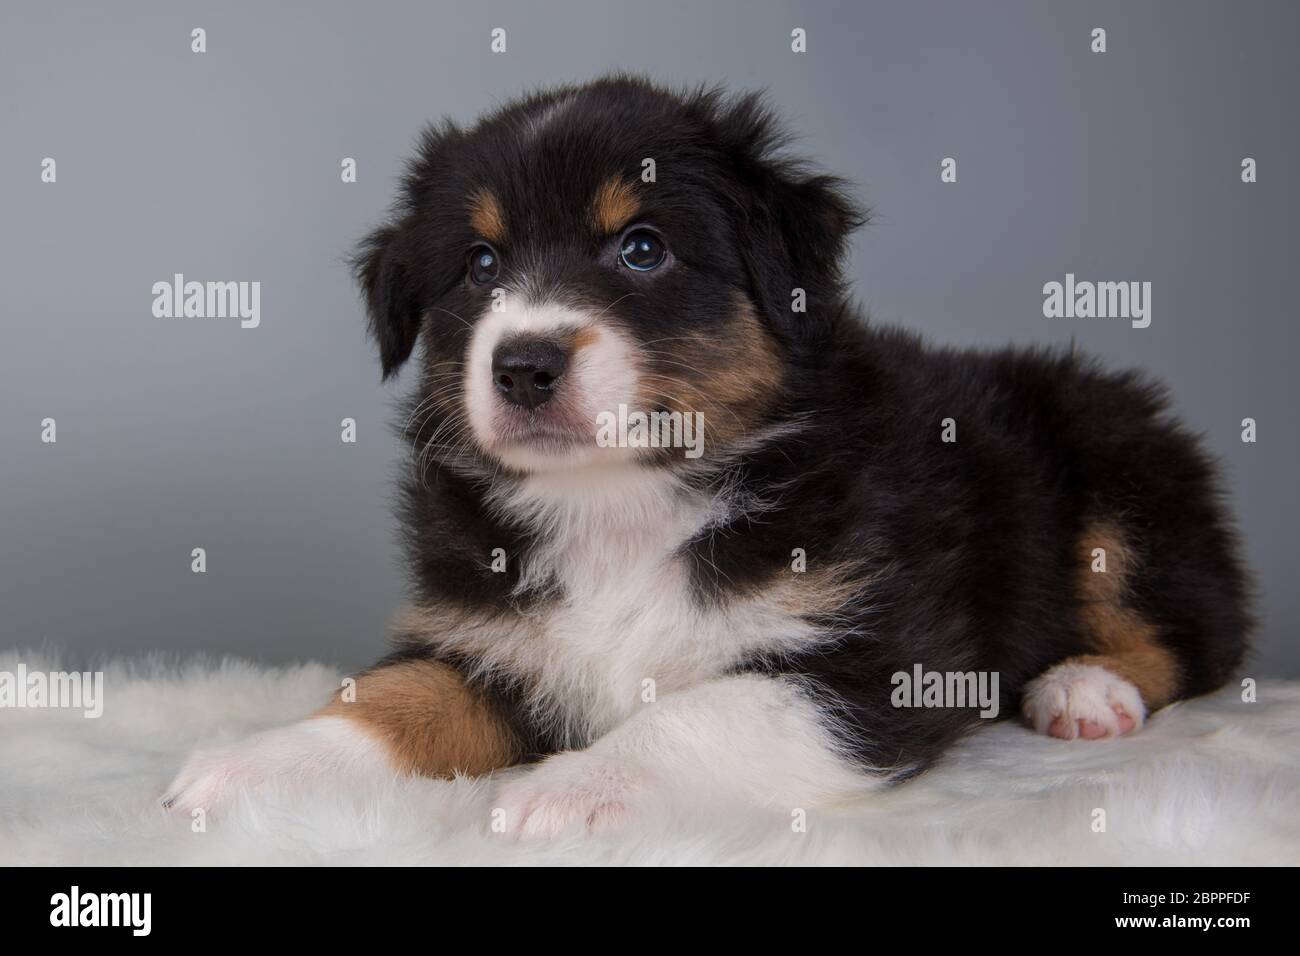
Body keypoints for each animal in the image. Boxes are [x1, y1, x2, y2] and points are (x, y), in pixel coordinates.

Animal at [162, 74, 1248, 837]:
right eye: (479, 265)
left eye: (642, 248)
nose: (522, 364)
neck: (618, 503)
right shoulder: (488, 634)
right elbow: (394, 692)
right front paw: (255, 764)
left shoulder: (877, 656)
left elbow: (706, 708)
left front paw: (573, 785)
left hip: (1114, 464)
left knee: (1198, 635)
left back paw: (1082, 688)